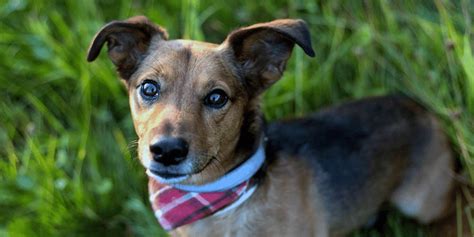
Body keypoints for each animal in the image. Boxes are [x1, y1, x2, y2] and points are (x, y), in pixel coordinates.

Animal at [86, 15, 456, 236]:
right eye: (148, 88)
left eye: (217, 97)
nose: (166, 151)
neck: (219, 203)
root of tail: (421, 108)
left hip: (423, 202)